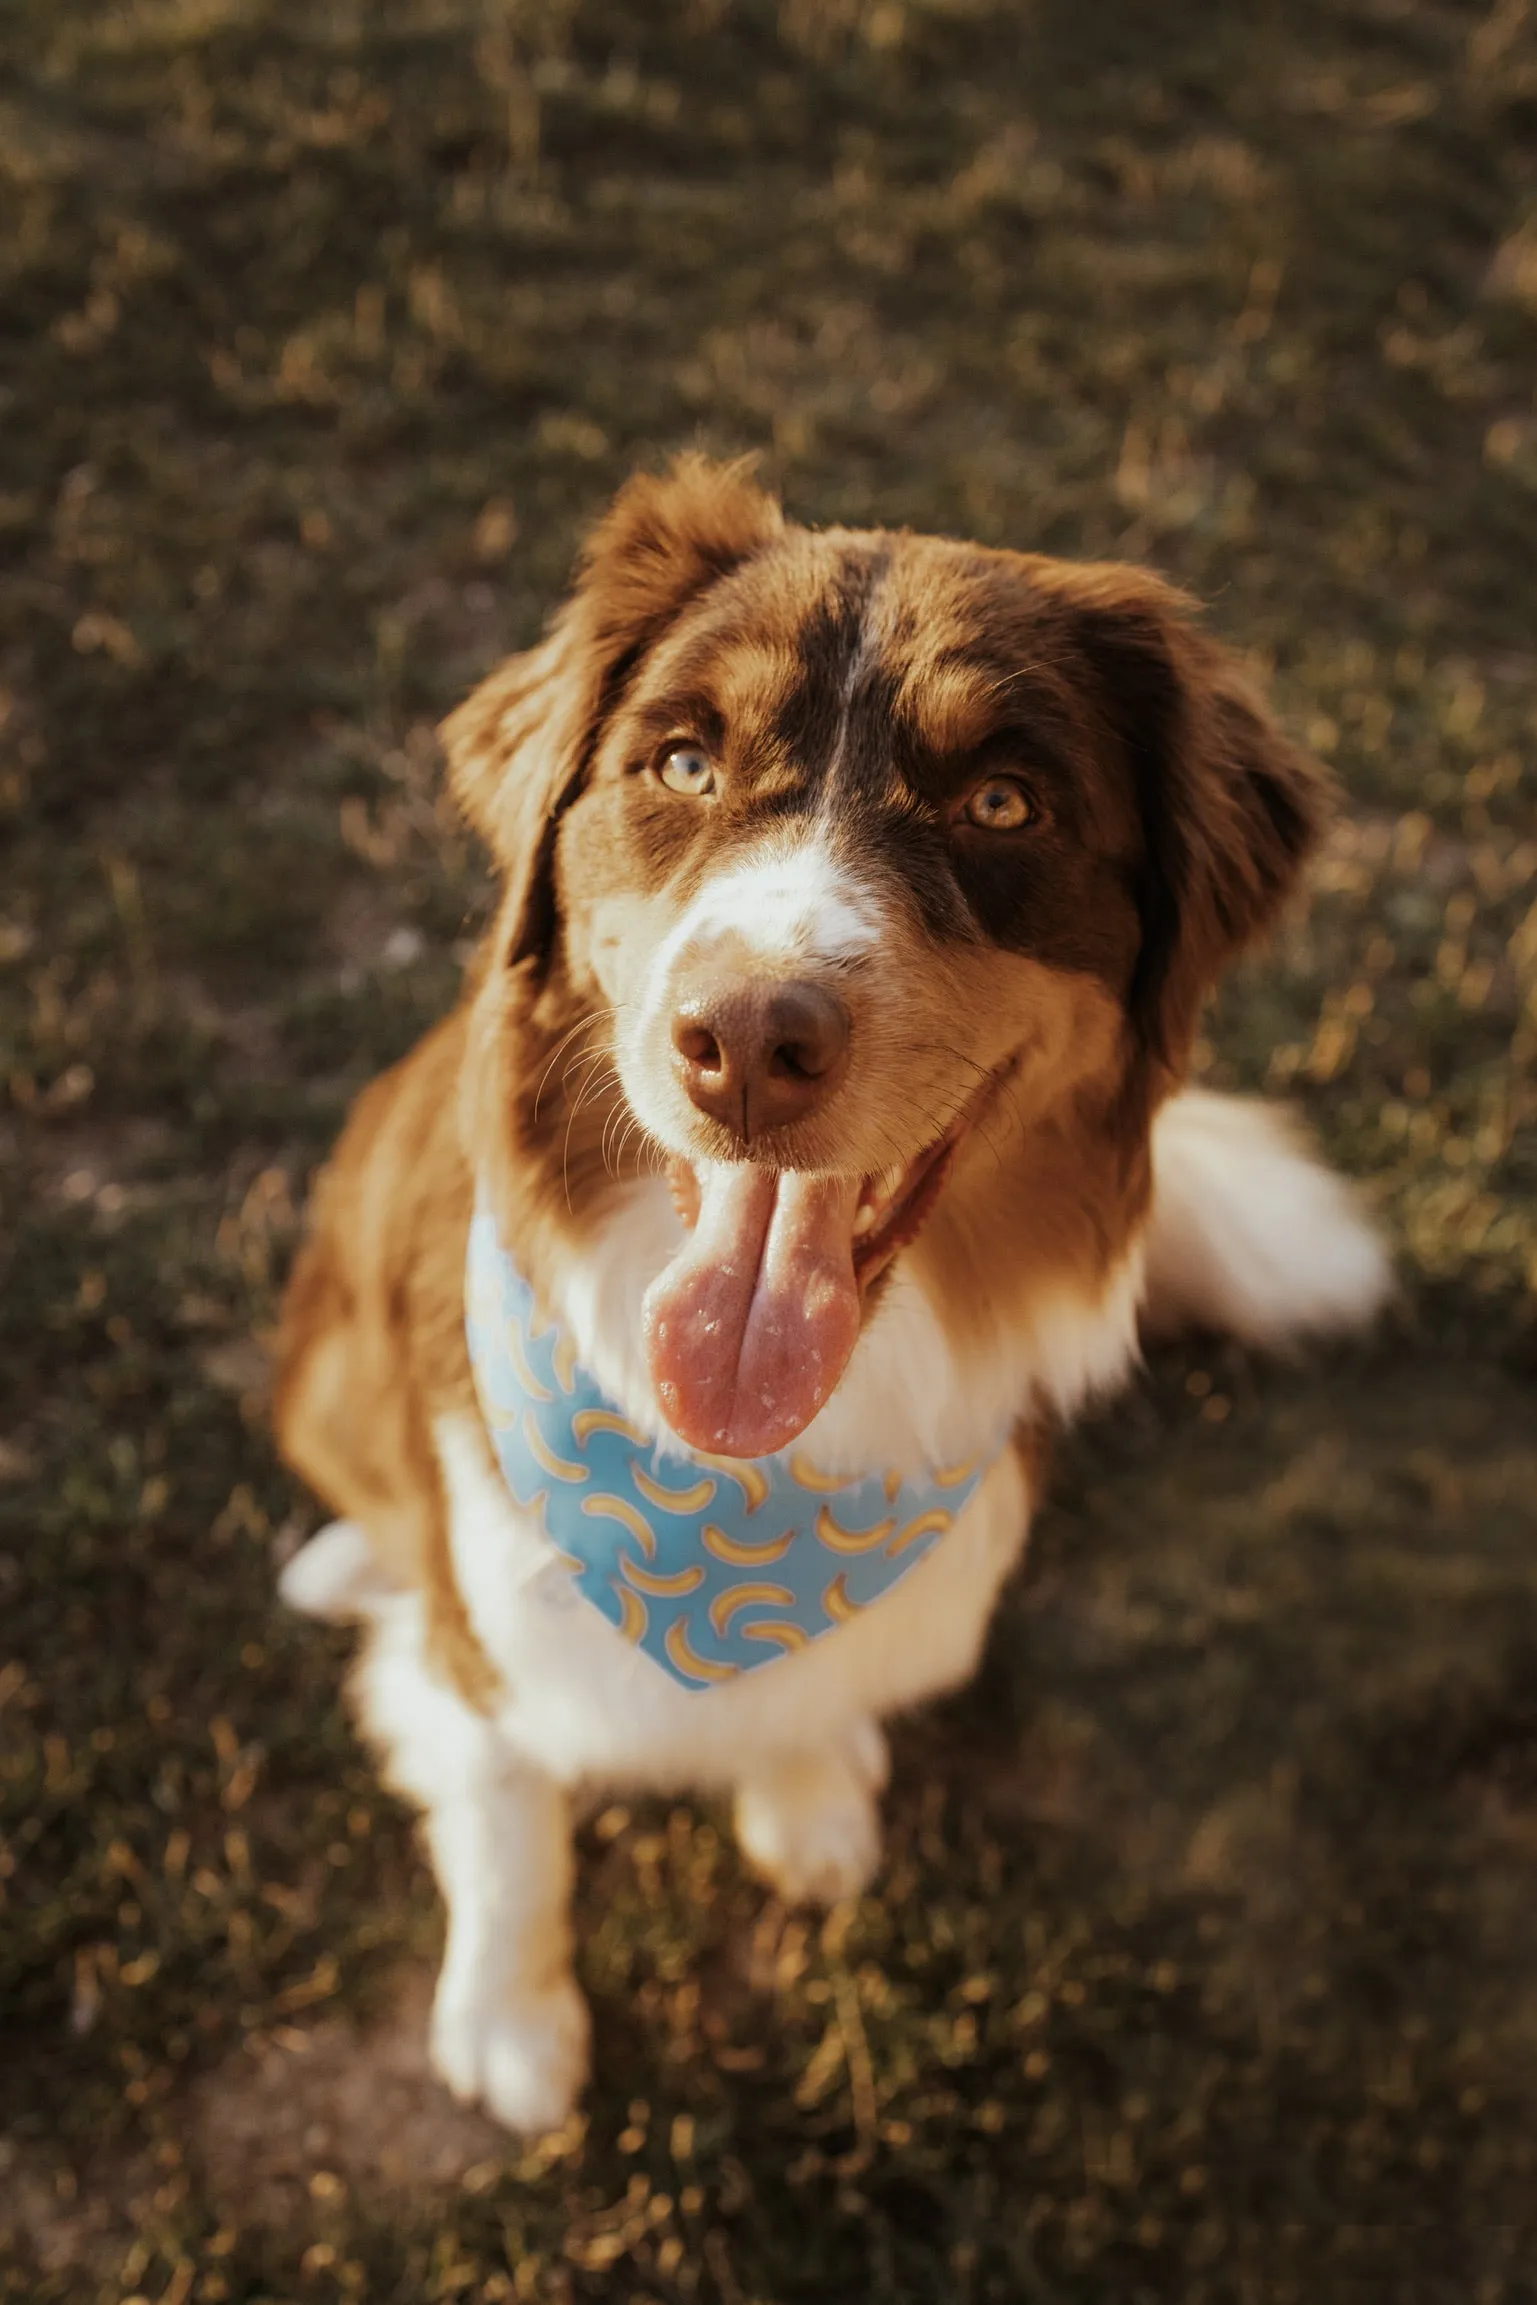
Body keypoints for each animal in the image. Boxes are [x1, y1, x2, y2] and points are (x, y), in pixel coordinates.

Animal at [270, 449, 1391, 2120]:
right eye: (680, 762)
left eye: (1001, 801)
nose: (745, 1040)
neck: (752, 1484)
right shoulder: (486, 1647)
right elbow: (507, 1799)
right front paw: (514, 2020)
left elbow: (801, 1715)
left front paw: (805, 1795)